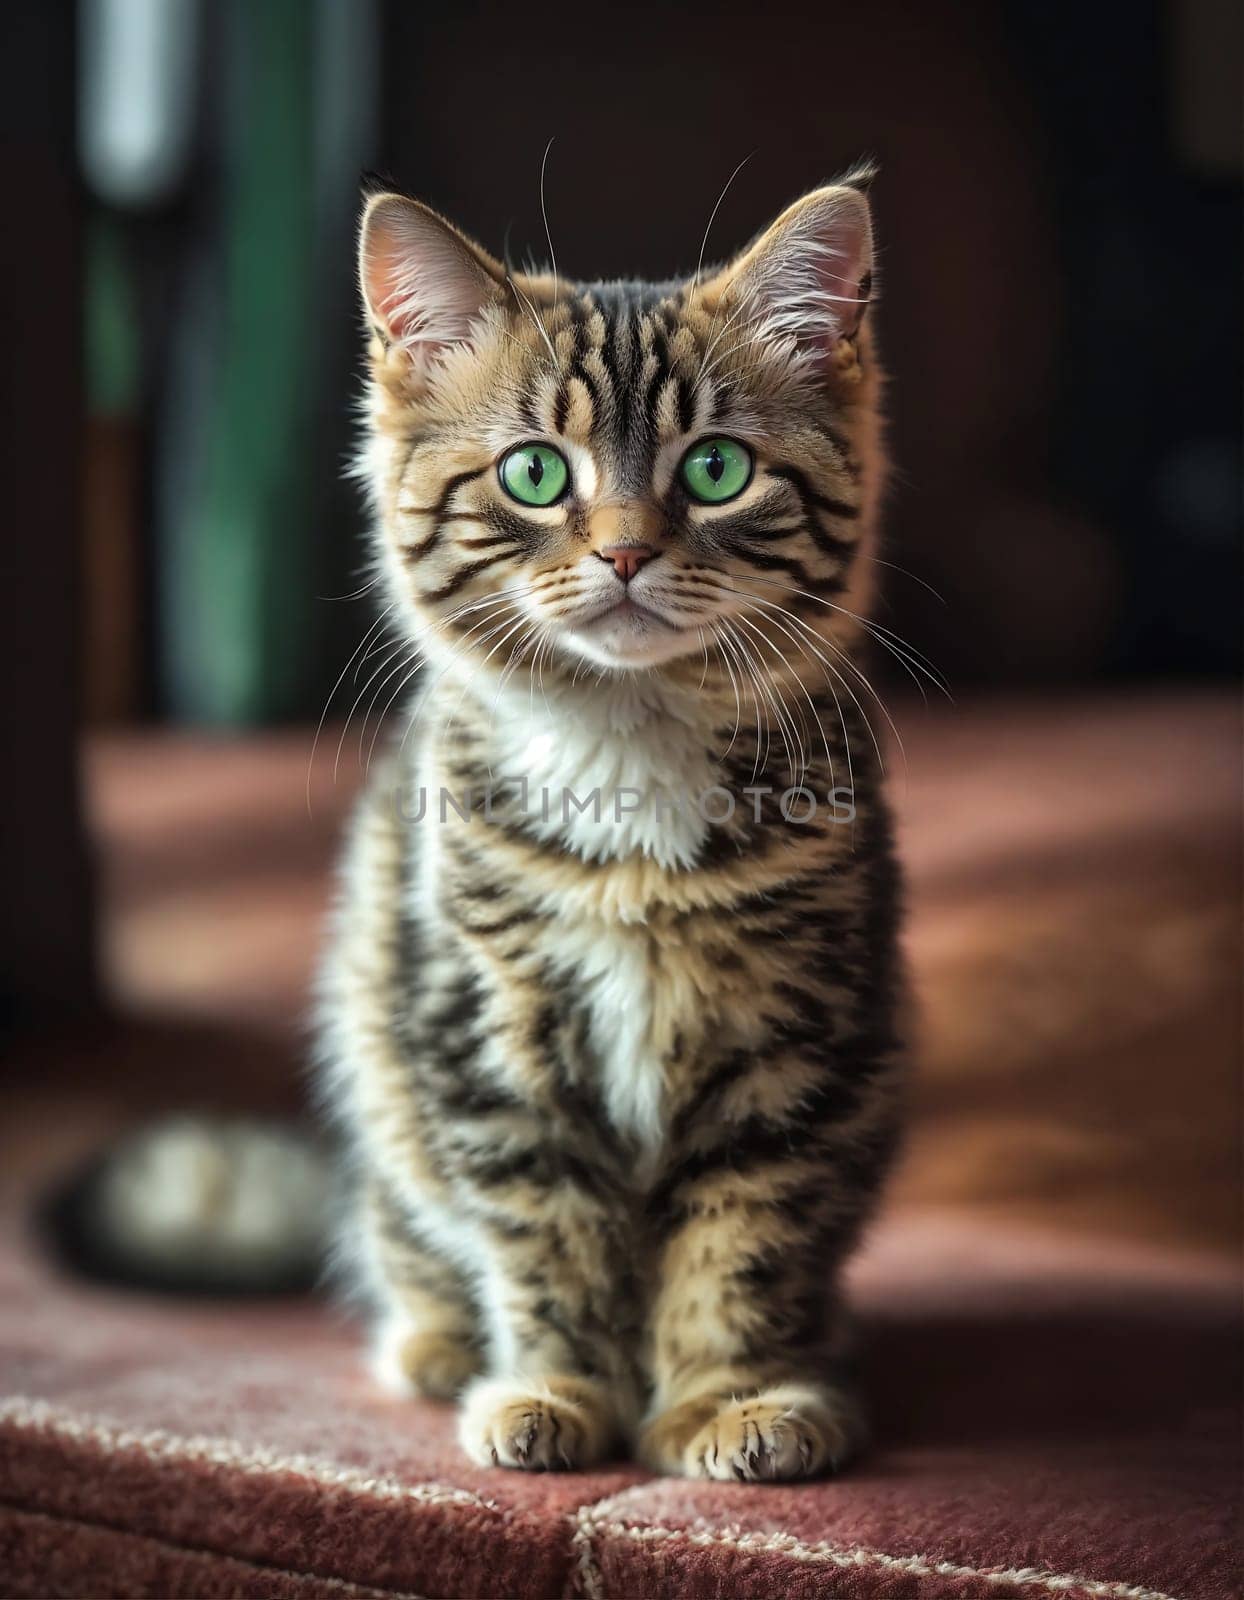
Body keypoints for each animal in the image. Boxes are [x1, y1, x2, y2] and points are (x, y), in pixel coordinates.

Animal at [319, 168, 901, 1478]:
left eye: (717, 468)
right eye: (536, 474)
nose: (629, 550)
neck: (629, 746)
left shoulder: (792, 1044)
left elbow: (742, 1240)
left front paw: (733, 1399)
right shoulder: (486, 1035)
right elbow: (546, 1236)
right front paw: (553, 1391)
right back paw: (439, 1346)